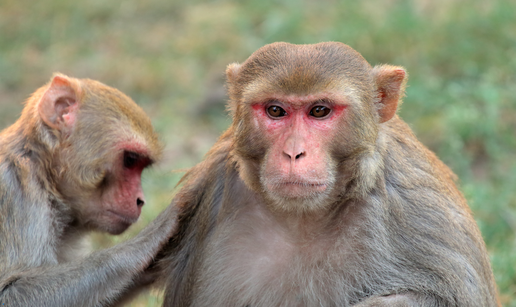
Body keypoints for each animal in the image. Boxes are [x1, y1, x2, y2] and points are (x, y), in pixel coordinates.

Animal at [0, 74, 179, 307]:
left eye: (140, 164)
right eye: (130, 160)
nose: (140, 200)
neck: (44, 175)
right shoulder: (14, 195)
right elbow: (9, 294)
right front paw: (155, 233)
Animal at [158, 42, 500, 307]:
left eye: (319, 111)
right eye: (275, 111)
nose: (294, 152)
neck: (303, 218)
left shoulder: (417, 209)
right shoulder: (217, 176)